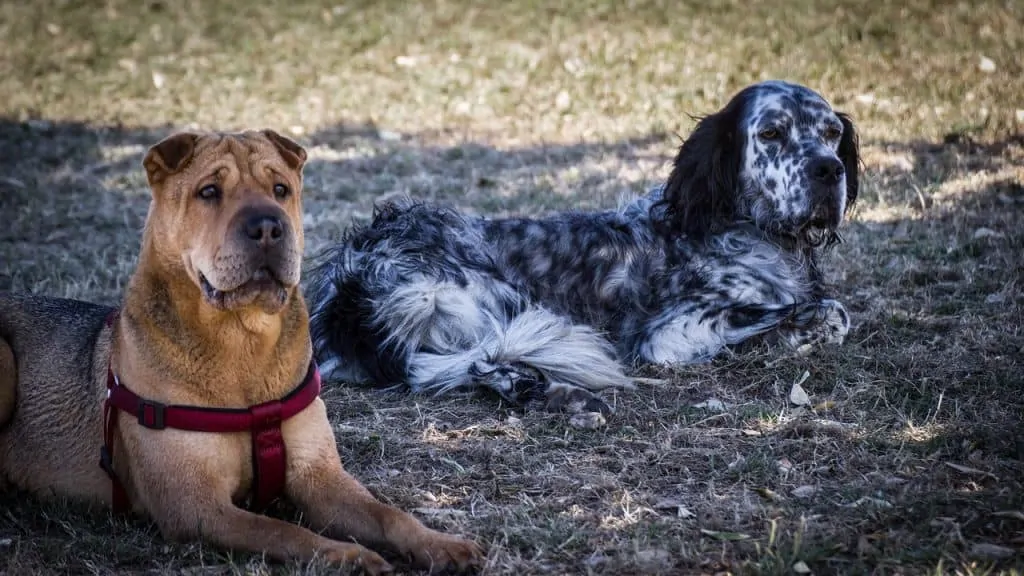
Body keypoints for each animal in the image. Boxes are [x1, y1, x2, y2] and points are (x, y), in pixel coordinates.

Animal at [0, 130, 483, 573]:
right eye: (209, 192)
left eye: (281, 189)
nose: (268, 226)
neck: (242, 343)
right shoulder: (195, 505)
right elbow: (281, 530)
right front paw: (346, 555)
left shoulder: (319, 476)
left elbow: (387, 513)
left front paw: (439, 544)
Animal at [307, 80, 860, 412]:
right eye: (771, 133)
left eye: (832, 132)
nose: (829, 170)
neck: (742, 228)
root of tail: (348, 281)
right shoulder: (672, 333)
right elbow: (829, 312)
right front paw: (794, 330)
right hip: (472, 293)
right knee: (474, 359)